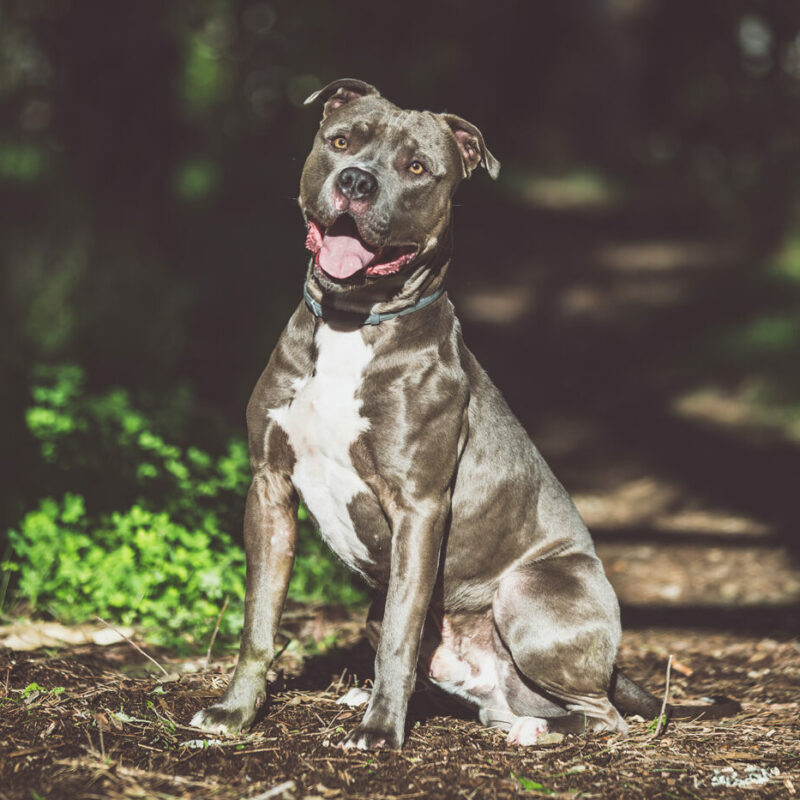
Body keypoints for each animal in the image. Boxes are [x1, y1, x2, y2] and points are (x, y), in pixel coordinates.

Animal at [191, 78, 740, 748]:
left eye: (417, 168)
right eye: (341, 141)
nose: (356, 182)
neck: (353, 323)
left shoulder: (419, 506)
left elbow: (401, 635)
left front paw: (382, 732)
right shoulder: (269, 487)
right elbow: (260, 622)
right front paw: (234, 712)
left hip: (528, 592)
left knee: (603, 715)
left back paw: (532, 730)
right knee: (489, 697)